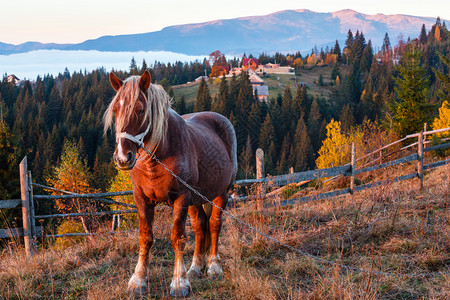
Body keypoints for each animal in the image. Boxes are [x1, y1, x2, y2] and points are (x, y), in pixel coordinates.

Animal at [103, 71, 237, 298]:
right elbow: (145, 237)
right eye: (116, 110)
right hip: (196, 200)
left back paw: (213, 267)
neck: (156, 158)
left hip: (221, 193)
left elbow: (178, 237)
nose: (122, 158)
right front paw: (138, 281)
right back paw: (196, 267)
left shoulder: (181, 198)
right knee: (200, 226)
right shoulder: (141, 198)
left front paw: (179, 283)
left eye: (140, 110)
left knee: (214, 225)